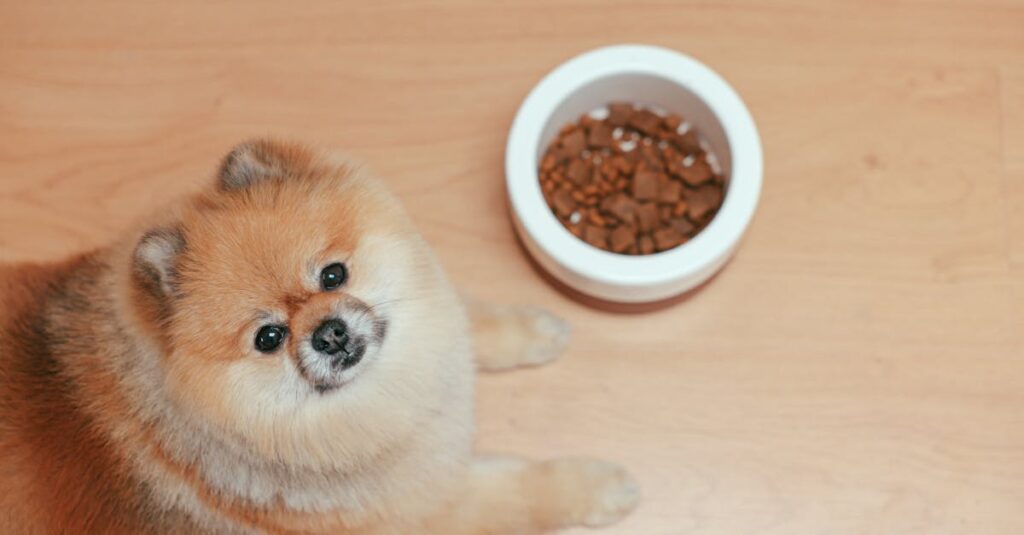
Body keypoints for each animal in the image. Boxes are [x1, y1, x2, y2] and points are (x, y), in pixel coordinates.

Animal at [0, 139, 638, 528]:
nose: (329, 334)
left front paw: (531, 327)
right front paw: (601, 485)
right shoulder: (431, 510)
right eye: (268, 338)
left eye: (333, 275)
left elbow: (464, 316)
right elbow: (522, 492)